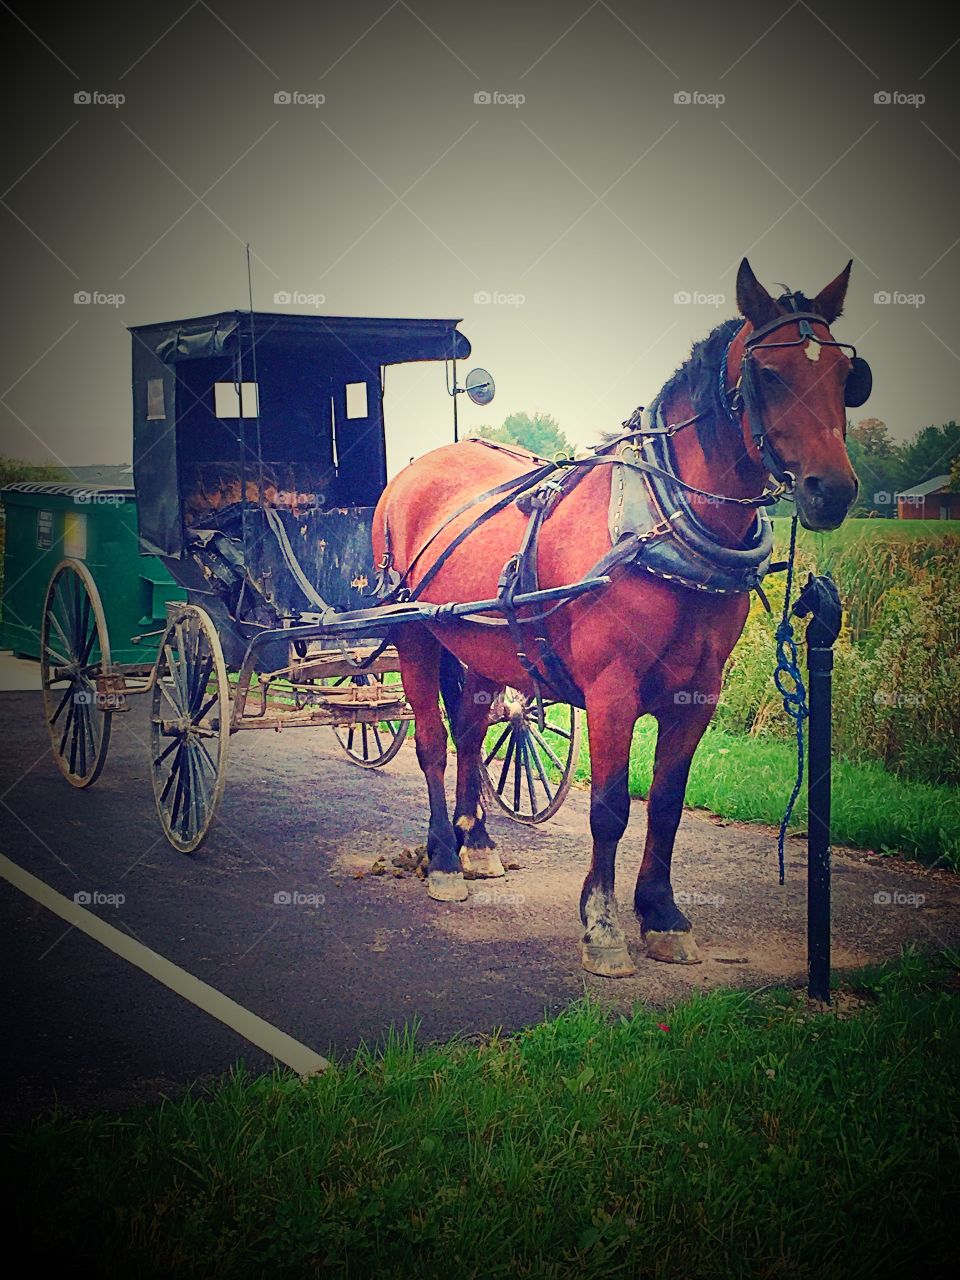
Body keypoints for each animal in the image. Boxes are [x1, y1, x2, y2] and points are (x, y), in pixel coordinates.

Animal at [373, 262, 865, 977]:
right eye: (768, 373)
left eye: (845, 375)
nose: (834, 490)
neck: (663, 527)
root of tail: (416, 467)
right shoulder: (612, 692)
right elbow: (608, 809)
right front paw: (602, 925)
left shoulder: (697, 695)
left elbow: (665, 805)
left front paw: (661, 914)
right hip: (412, 631)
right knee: (433, 744)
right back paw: (442, 859)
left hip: (481, 641)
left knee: (469, 733)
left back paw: (477, 842)